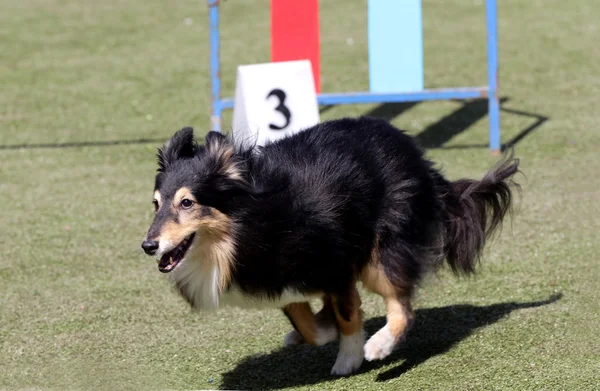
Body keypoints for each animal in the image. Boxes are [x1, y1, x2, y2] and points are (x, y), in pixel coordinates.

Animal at [142, 117, 520, 376]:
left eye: (187, 203)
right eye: (156, 203)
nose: (148, 245)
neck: (253, 221)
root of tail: (411, 149)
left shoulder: (335, 263)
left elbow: (348, 314)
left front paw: (349, 356)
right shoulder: (281, 278)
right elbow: (306, 323)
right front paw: (322, 330)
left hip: (381, 252)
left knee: (402, 306)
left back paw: (380, 344)